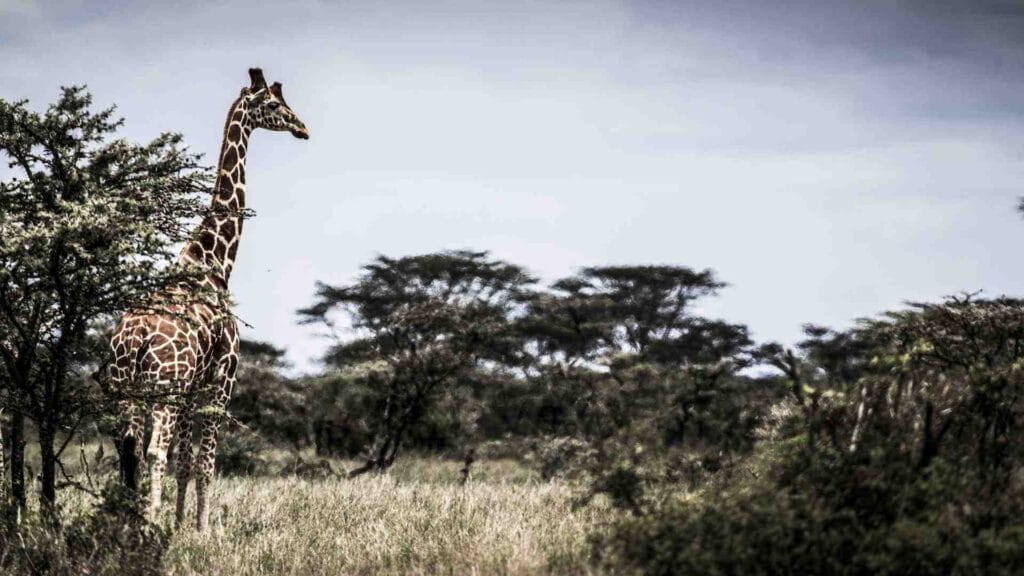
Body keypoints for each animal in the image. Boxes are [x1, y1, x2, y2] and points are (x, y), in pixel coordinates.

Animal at [109, 68, 308, 531]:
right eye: (274, 104)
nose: (302, 127)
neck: (213, 263)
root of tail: (133, 337)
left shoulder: (193, 386)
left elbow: (186, 460)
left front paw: (181, 524)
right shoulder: (221, 379)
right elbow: (205, 462)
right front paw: (199, 530)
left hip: (127, 386)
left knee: (128, 448)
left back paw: (130, 522)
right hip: (163, 387)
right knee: (152, 451)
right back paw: (147, 526)